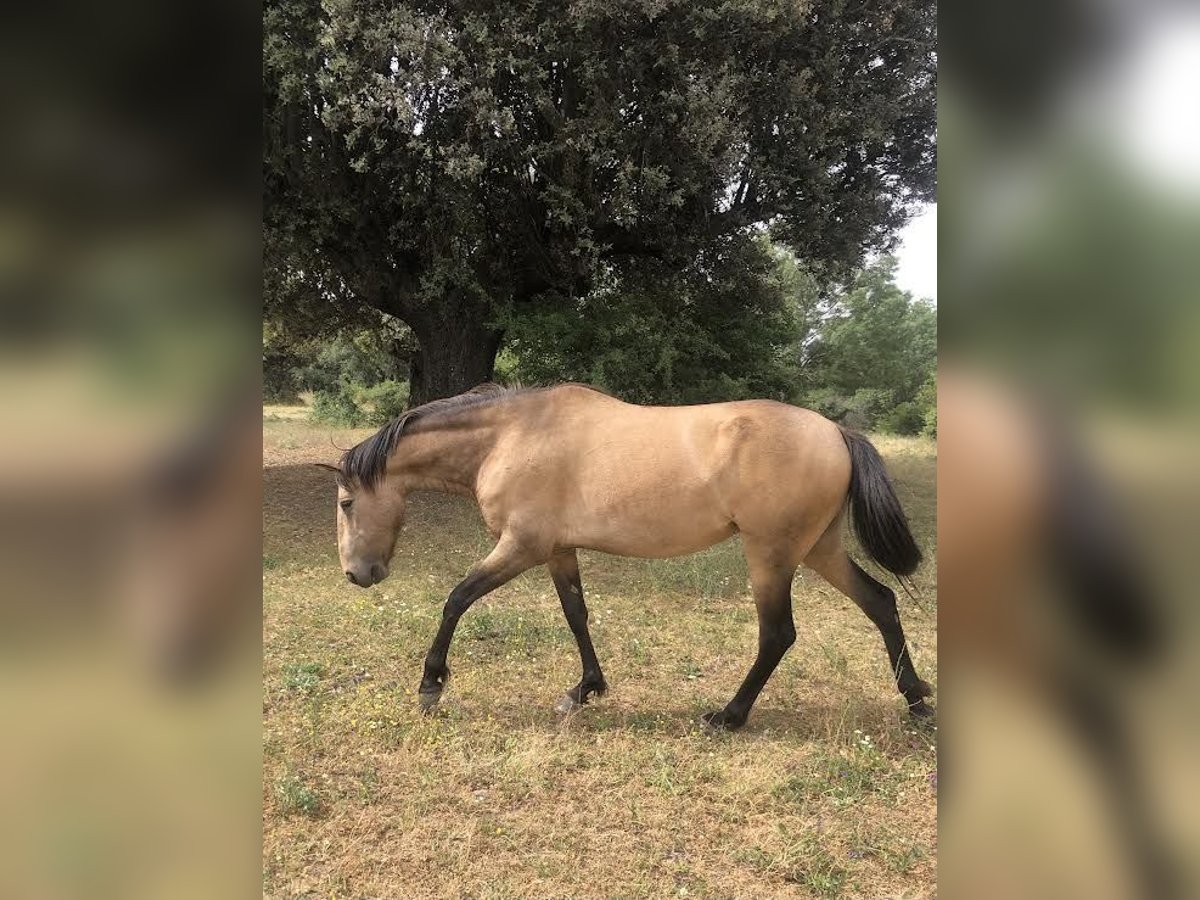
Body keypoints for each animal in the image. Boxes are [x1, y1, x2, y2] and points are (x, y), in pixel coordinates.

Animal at [321, 384, 936, 729]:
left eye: (348, 502)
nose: (357, 574)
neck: (510, 435)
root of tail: (836, 431)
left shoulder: (520, 546)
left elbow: (457, 599)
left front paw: (431, 684)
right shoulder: (557, 550)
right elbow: (576, 614)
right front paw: (585, 690)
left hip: (772, 554)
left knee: (778, 634)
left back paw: (729, 716)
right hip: (818, 549)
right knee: (880, 602)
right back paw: (916, 701)